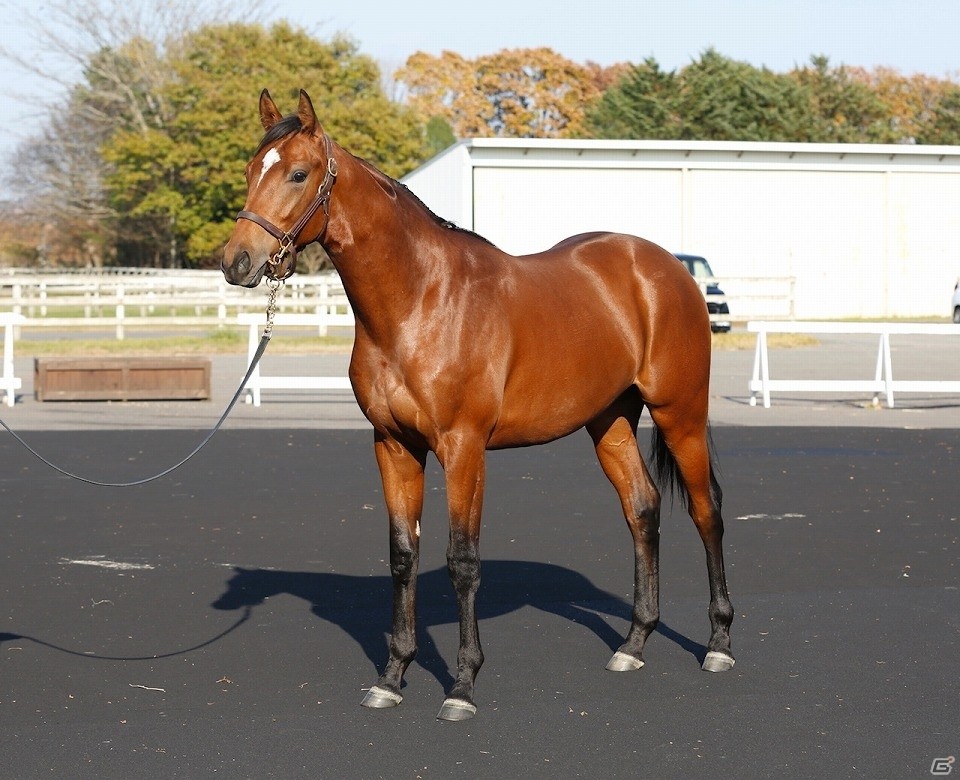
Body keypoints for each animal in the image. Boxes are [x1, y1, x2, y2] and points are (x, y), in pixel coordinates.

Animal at [221, 89, 735, 721]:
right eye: (251, 171)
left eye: (297, 173)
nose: (236, 261)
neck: (420, 301)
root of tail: (666, 268)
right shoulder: (393, 446)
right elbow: (403, 555)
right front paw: (392, 676)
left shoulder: (463, 447)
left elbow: (462, 560)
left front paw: (462, 685)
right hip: (609, 420)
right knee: (642, 508)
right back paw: (633, 645)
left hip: (680, 412)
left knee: (706, 510)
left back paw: (718, 643)